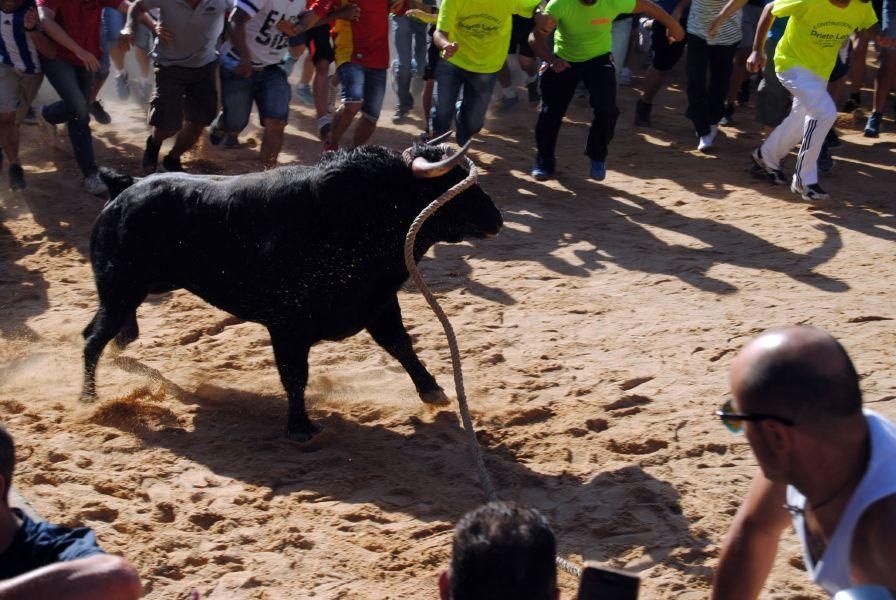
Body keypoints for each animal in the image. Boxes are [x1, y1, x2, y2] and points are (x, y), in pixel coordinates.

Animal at [82, 141, 504, 440]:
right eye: (451, 187)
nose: (497, 220)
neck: (360, 213)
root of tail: (125, 189)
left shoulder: (379, 303)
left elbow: (401, 346)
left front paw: (434, 392)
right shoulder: (288, 326)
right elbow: (295, 374)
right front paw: (300, 428)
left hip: (130, 291)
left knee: (110, 331)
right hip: (119, 288)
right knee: (93, 338)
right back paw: (88, 399)